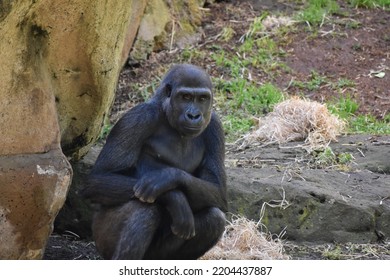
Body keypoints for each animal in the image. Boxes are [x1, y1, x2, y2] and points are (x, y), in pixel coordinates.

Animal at [83, 63, 229, 260]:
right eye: (185, 97)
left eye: (202, 99)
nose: (194, 115)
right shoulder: (138, 118)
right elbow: (99, 178)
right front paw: (174, 197)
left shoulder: (215, 126)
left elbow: (217, 188)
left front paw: (167, 178)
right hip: (101, 238)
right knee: (145, 210)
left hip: (157, 256)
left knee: (214, 218)